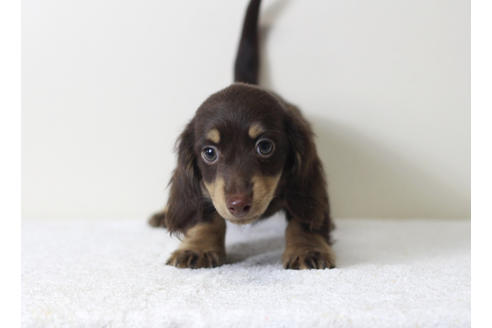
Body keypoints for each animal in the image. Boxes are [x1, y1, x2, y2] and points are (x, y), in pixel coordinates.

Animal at [150, 0, 334, 270]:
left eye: (265, 146)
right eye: (209, 152)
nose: (238, 205)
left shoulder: (307, 185)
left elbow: (303, 215)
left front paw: (308, 248)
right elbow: (206, 214)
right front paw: (198, 247)